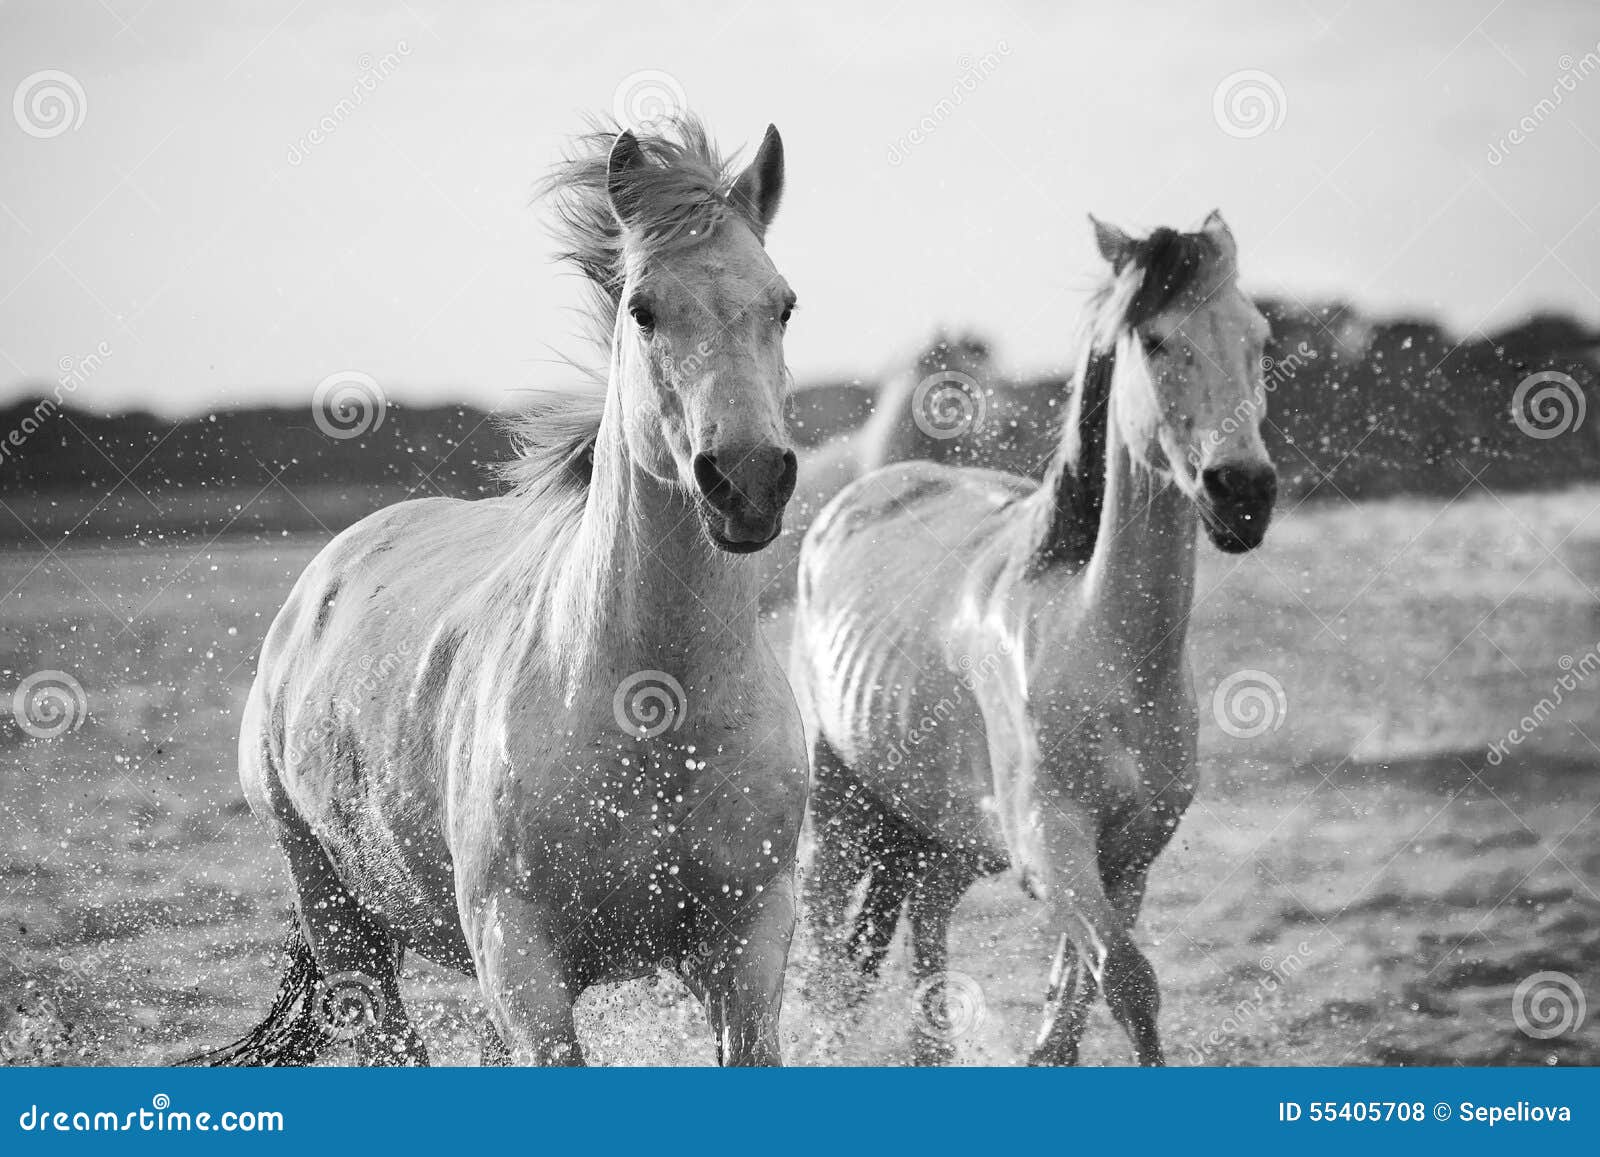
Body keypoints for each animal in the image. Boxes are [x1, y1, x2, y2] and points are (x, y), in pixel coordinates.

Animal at [190, 116, 809, 1066]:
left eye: (782, 304)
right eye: (643, 309)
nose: (745, 479)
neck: (654, 707)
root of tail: (313, 592)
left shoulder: (748, 947)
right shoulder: (521, 960)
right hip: (346, 930)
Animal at [788, 212, 1278, 1065]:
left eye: (1259, 337)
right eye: (1156, 340)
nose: (1244, 492)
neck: (1096, 643)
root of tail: (853, 501)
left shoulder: (1127, 859)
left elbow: (1074, 1019)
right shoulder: (1055, 852)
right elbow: (1129, 982)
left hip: (943, 843)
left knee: (924, 936)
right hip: (838, 818)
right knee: (826, 977)